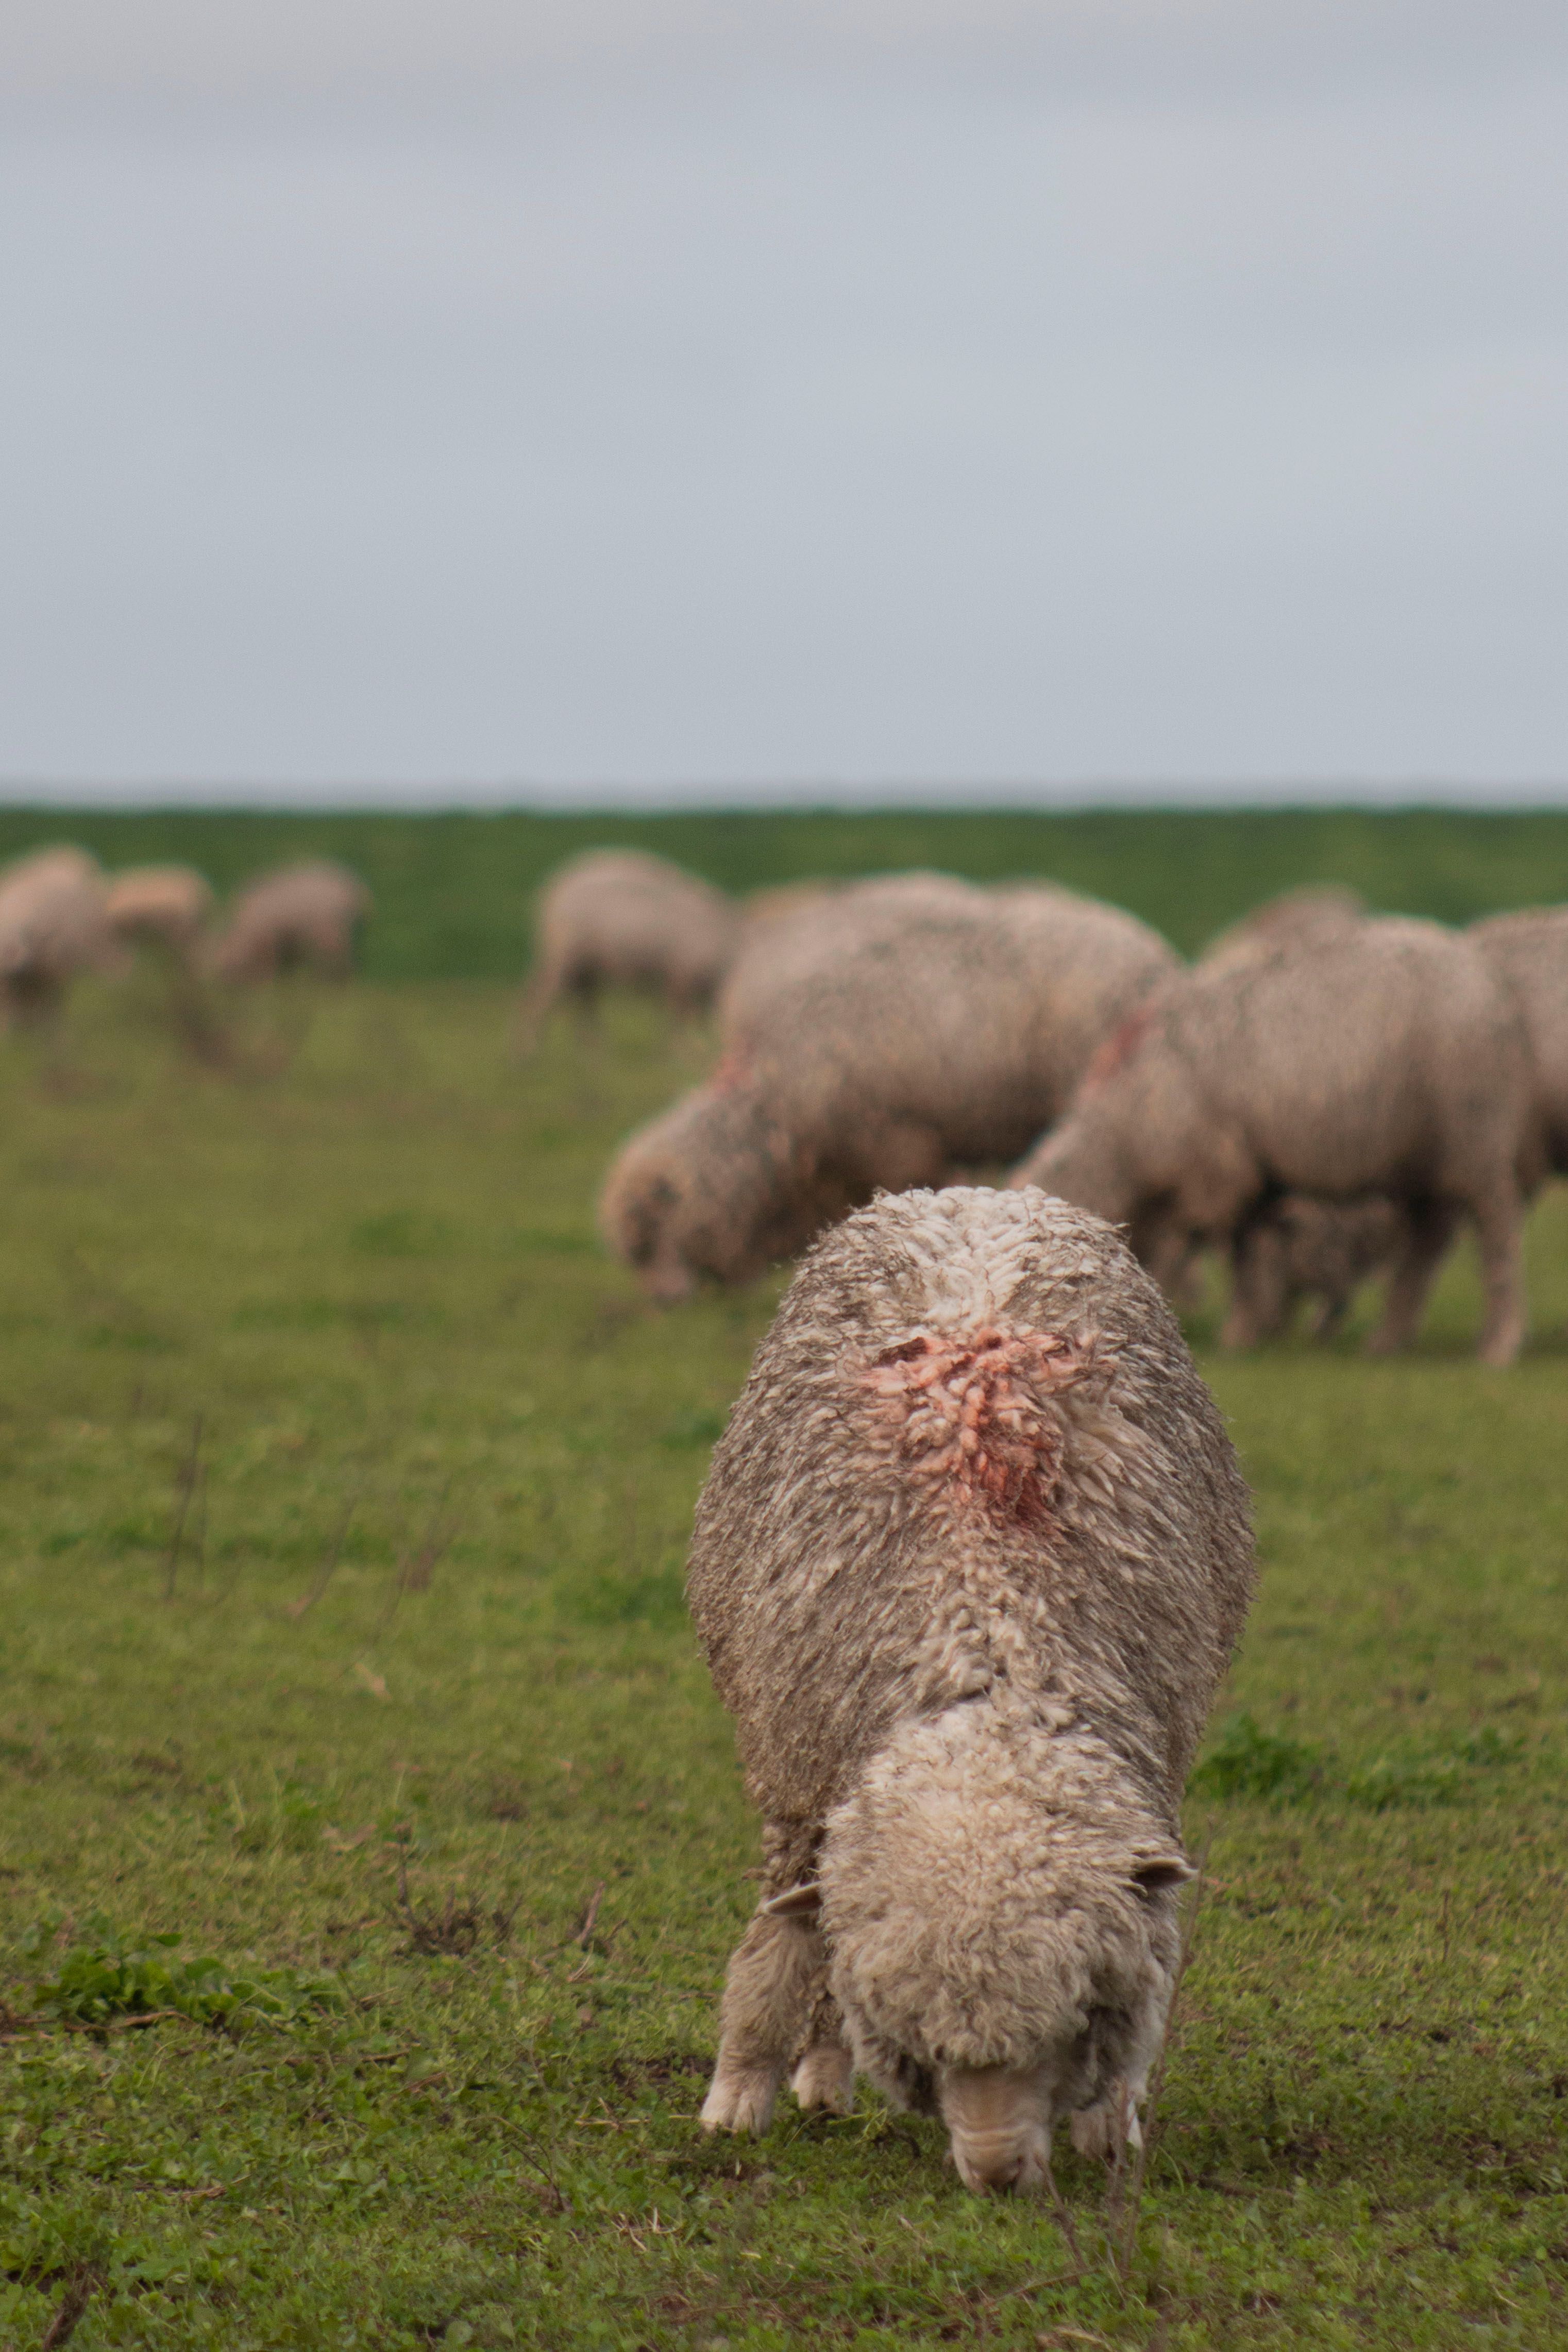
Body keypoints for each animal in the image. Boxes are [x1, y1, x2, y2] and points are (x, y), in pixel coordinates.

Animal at [207, 860, 371, 985]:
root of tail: (356, 890)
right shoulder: (288, 942)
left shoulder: (269, 941)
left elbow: (269, 966)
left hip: (331, 932)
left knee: (340, 961)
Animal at [513, 850, 741, 1053]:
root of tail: (552, 890)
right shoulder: (682, 977)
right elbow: (680, 1017)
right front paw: (687, 1051)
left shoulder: (677, 980)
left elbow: (676, 1018)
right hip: (565, 957)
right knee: (537, 998)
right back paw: (526, 1052)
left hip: (583, 966)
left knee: (581, 1003)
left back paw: (592, 1051)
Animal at [687, 1184, 1254, 2191]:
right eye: (921, 2047)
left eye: (1070, 2025)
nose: (995, 2176)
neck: (988, 1625)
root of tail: (975, 1193)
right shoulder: (799, 1776)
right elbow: (778, 1945)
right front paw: (738, 2093)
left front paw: (1109, 2123)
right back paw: (819, 2073)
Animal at [1013, 919, 1532, 1365]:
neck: (1121, 1136)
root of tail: (1488, 986)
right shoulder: (1242, 1174)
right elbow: (1233, 1250)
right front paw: (1250, 1326)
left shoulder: (1217, 1169)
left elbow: (1233, 1252)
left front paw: (1237, 1331)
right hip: (1421, 1159)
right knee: (1425, 1244)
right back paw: (1388, 1340)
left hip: (1474, 1136)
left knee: (1498, 1233)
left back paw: (1499, 1345)